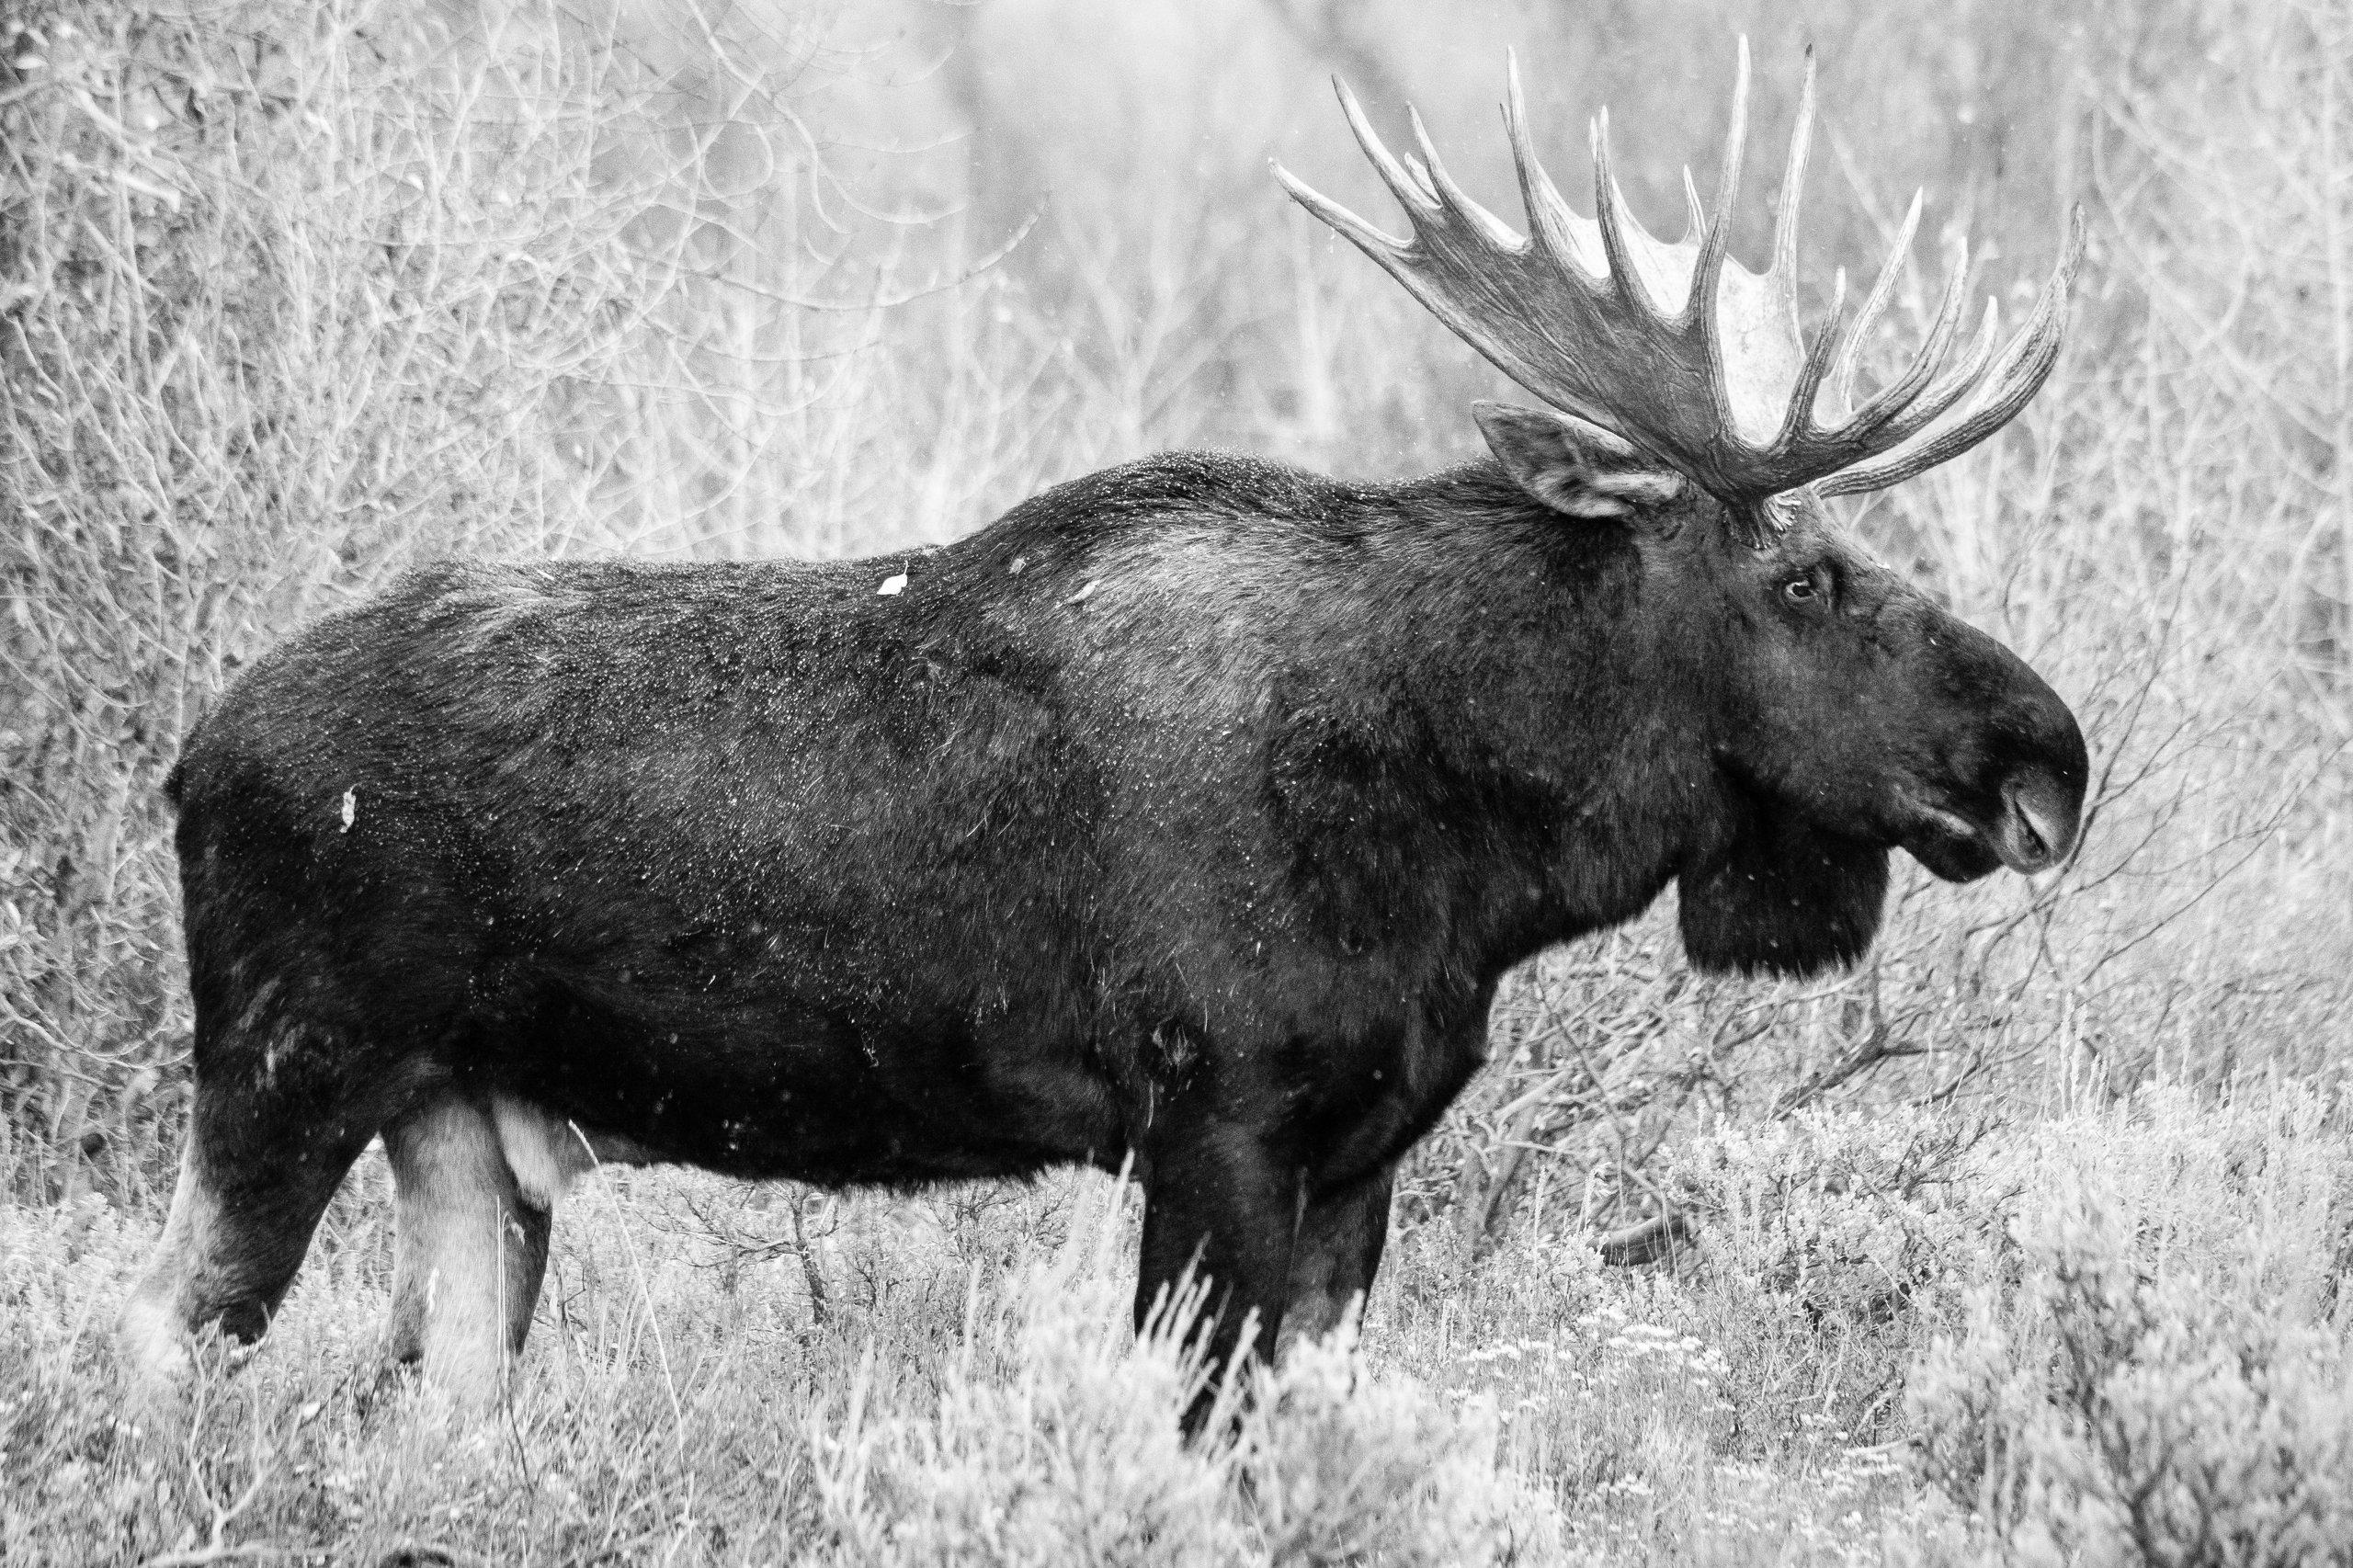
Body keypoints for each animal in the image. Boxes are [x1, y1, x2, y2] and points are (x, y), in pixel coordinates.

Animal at [122, 46, 2087, 1425]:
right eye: (1809, 576)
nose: (2050, 760)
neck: (1474, 848)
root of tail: (187, 754)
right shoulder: (1213, 1123)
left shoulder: (1356, 1165)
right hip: (285, 1073)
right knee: (151, 1347)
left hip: (463, 1131)